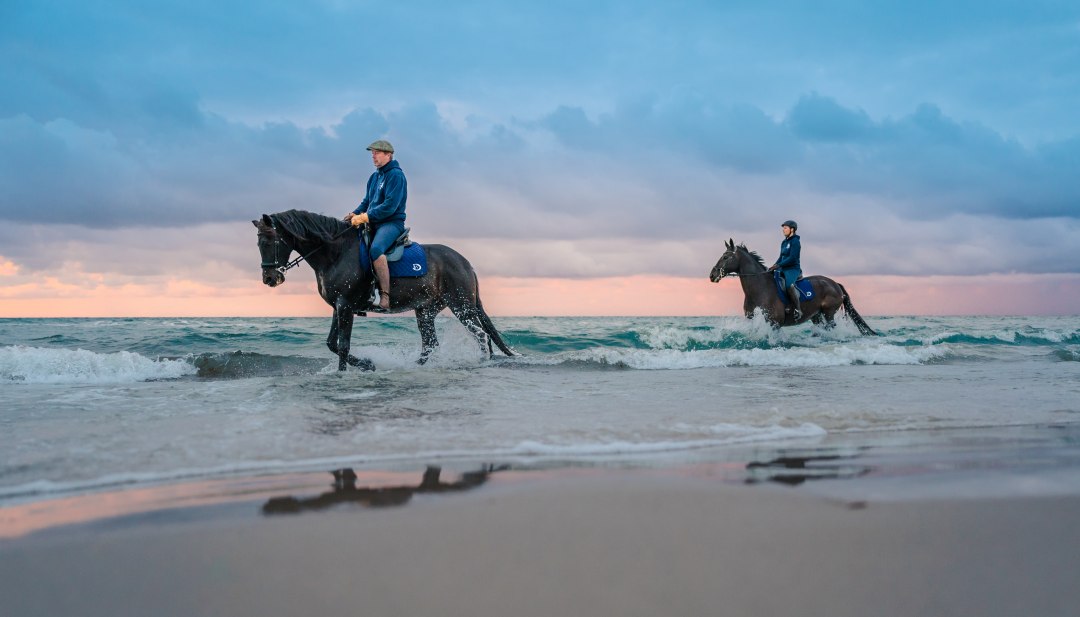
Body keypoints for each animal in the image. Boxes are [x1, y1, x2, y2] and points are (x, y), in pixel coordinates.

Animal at [254, 209, 515, 370]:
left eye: (270, 242)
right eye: (258, 243)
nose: (270, 278)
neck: (336, 253)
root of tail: (465, 262)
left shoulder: (345, 306)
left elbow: (343, 345)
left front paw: (348, 372)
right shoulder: (338, 306)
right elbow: (332, 344)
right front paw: (367, 365)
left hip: (462, 306)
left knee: (480, 335)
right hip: (426, 311)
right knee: (430, 343)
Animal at [709, 238, 877, 335]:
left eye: (725, 257)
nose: (712, 275)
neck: (759, 289)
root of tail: (835, 284)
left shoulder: (774, 323)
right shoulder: (751, 319)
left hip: (829, 313)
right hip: (816, 316)